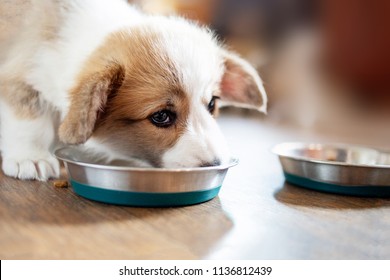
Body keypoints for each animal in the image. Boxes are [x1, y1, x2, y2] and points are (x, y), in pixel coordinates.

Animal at [0, 0, 266, 180]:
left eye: (212, 104)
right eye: (161, 116)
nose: (214, 164)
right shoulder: (20, 75)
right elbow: (30, 123)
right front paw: (31, 158)